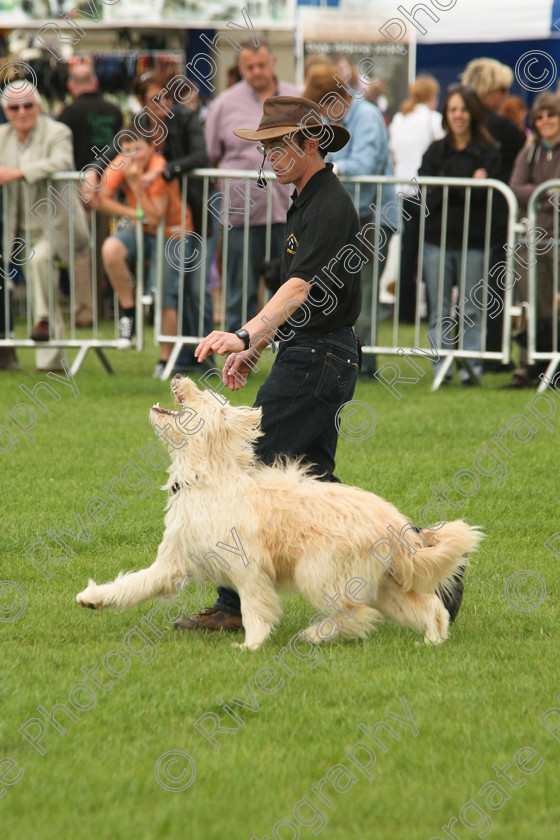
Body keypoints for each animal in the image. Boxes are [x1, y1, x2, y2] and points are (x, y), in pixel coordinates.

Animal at [76, 376, 484, 648]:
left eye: (205, 396)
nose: (179, 375)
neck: (206, 478)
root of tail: (395, 525)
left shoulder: (248, 567)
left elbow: (256, 606)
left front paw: (251, 645)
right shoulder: (172, 562)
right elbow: (135, 584)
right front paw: (93, 599)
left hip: (319, 572)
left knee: (357, 615)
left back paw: (314, 635)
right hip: (382, 584)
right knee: (426, 607)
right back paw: (431, 640)